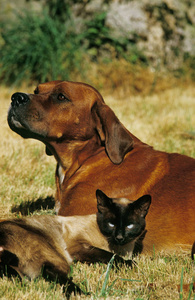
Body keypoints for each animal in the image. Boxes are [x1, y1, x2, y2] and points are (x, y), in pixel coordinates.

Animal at [0, 191, 151, 294]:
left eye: (129, 226)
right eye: (111, 224)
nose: (119, 237)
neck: (122, 248)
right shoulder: (79, 248)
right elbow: (109, 256)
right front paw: (130, 263)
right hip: (57, 258)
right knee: (57, 275)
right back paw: (84, 294)